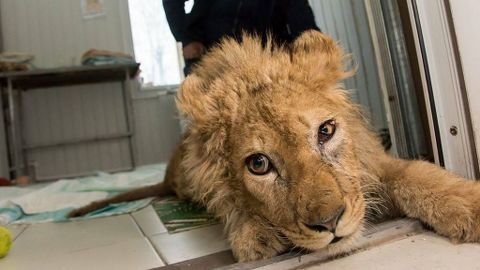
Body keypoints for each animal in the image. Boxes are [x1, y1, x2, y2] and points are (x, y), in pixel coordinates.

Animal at [69, 31, 480, 262]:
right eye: (259, 165)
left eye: (326, 131)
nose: (329, 223)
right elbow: (229, 204)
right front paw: (254, 233)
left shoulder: (373, 164)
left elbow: (416, 174)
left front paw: (468, 205)